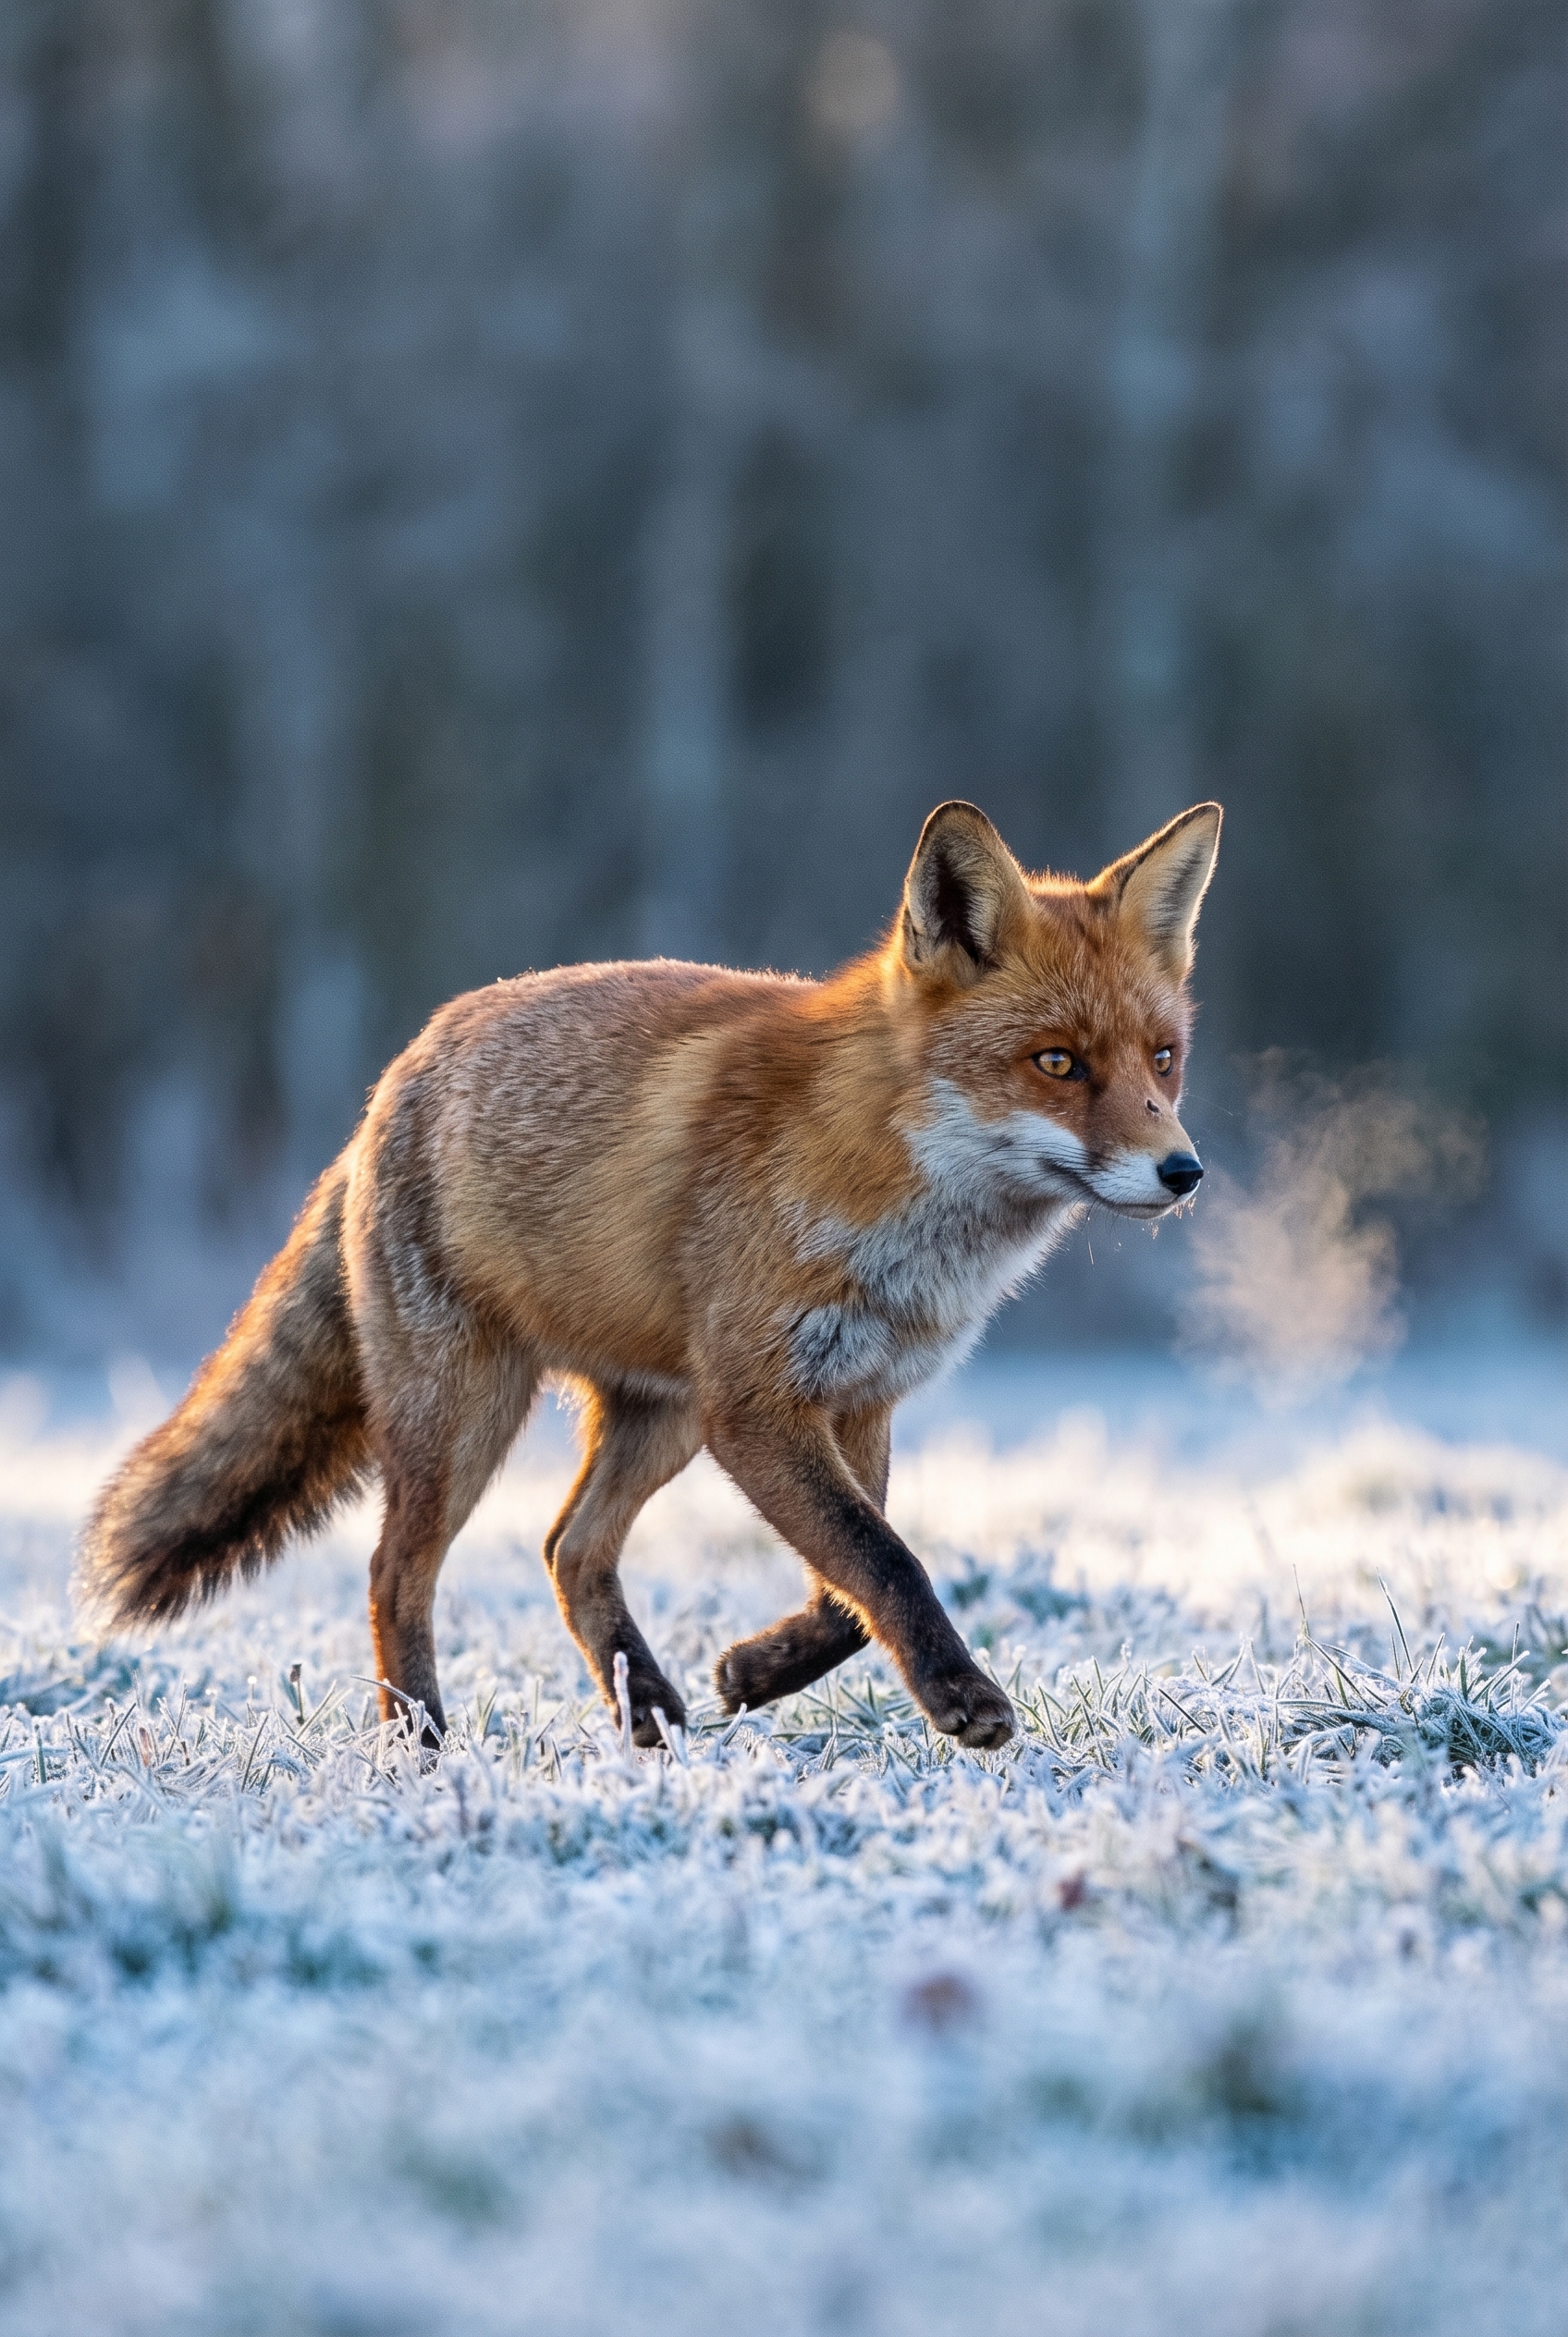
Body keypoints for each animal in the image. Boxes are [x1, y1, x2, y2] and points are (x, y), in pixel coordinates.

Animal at [80, 798, 1220, 1752]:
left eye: (1162, 1058)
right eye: (1058, 1062)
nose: (1184, 1171)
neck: (890, 1184)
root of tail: (395, 1076)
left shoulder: (857, 1396)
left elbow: (847, 1589)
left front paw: (757, 1671)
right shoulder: (756, 1406)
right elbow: (885, 1558)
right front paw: (957, 1695)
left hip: (659, 1417)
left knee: (567, 1549)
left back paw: (649, 1712)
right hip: (468, 1416)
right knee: (394, 1574)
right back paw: (423, 1745)